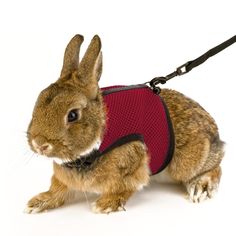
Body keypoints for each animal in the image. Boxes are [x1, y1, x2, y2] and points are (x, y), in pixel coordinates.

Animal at [24, 34, 224, 214]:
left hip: (187, 163)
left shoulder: (132, 165)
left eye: (73, 115)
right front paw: (37, 203)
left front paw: (105, 205)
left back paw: (200, 187)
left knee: (215, 168)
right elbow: (58, 189)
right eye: (38, 102)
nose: (39, 144)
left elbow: (123, 188)